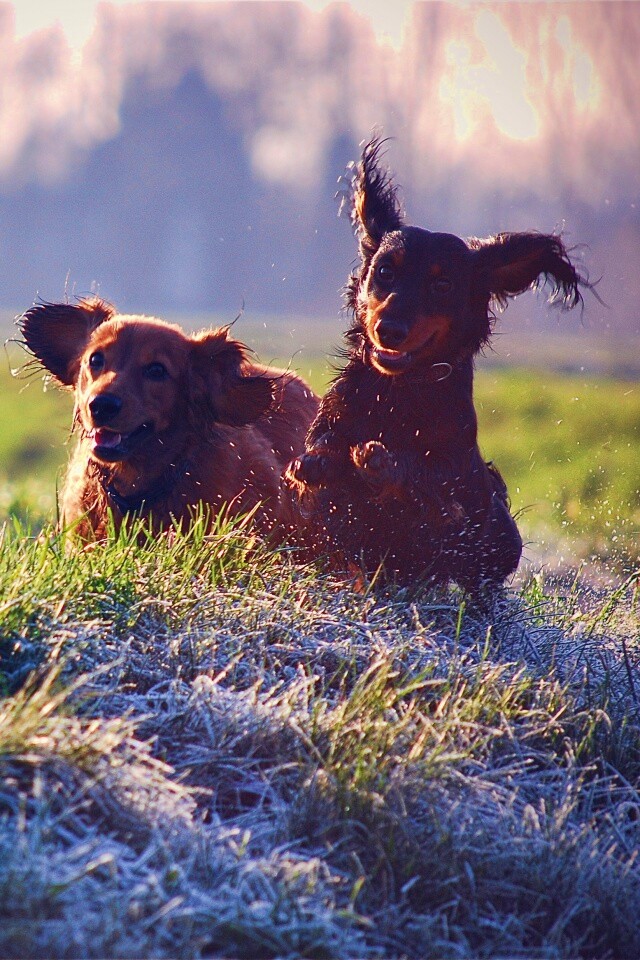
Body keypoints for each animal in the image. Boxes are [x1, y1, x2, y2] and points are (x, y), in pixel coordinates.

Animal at [284, 138, 592, 588]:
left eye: (442, 284)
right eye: (385, 271)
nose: (389, 330)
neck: (398, 390)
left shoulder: (453, 488)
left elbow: (429, 486)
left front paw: (381, 462)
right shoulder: (328, 441)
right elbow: (321, 458)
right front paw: (321, 461)